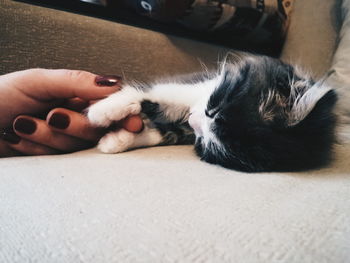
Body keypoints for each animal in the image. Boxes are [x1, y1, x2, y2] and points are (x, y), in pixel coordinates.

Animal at [87, 54, 336, 173]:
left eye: (209, 144)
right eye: (212, 108)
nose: (192, 119)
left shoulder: (186, 130)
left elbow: (164, 133)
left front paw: (116, 140)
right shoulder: (196, 87)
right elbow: (155, 94)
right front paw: (102, 111)